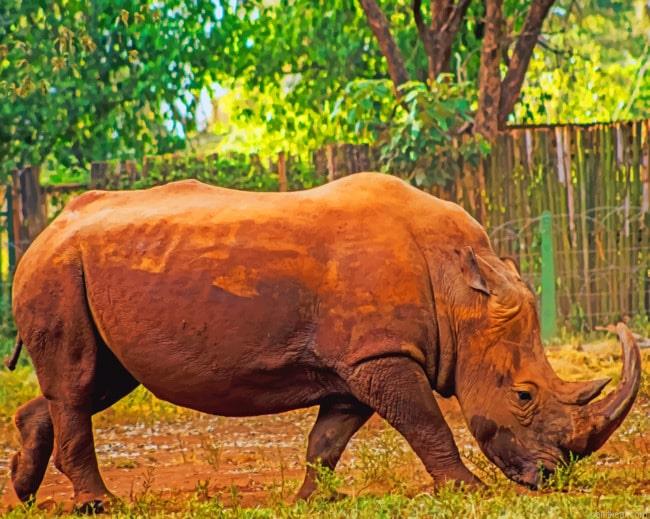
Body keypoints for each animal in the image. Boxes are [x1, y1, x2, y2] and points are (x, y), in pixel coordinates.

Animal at [7, 173, 641, 509]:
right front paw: (468, 490)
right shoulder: (381, 353)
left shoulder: (359, 361)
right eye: (524, 396)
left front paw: (316, 500)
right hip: (58, 270)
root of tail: (44, 231)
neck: (461, 291)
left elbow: (329, 436)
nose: (552, 480)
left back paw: (25, 490)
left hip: (82, 273)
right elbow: (427, 423)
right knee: (78, 380)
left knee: (98, 381)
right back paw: (98, 505)